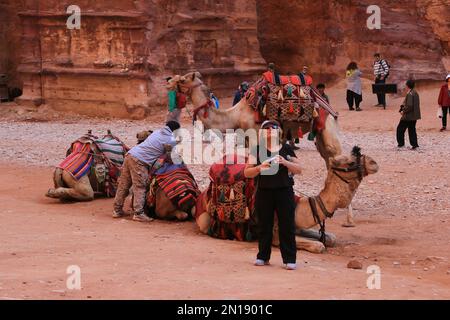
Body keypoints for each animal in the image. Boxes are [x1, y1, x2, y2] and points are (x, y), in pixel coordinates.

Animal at [195, 146, 378, 254]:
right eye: (351, 162)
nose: (374, 163)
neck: (299, 207)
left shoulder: (297, 224)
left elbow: (330, 238)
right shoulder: (276, 233)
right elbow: (319, 245)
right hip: (204, 220)